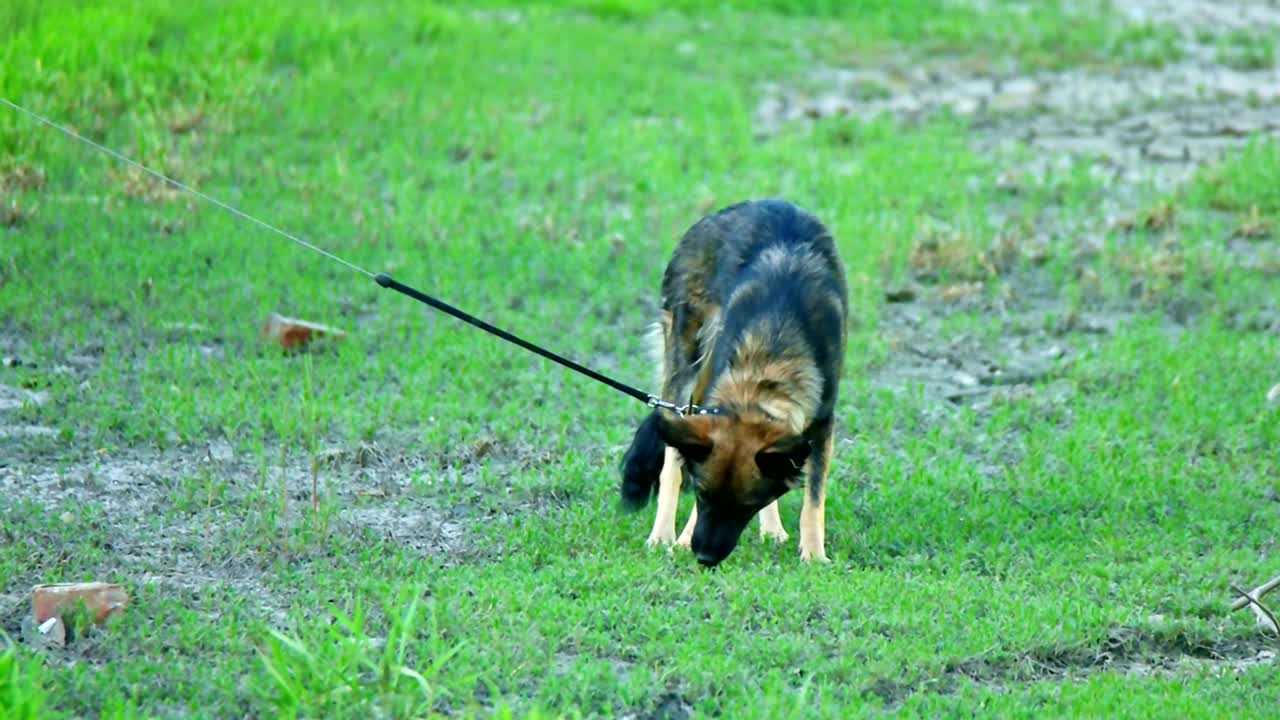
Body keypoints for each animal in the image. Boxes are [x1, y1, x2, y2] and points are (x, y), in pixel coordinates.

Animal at [619, 197, 849, 566]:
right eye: (702, 495)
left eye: (748, 506)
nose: (704, 557)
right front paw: (681, 540)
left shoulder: (820, 423)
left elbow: (814, 498)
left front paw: (813, 554)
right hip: (683, 366)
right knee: (671, 461)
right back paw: (662, 535)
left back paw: (772, 530)